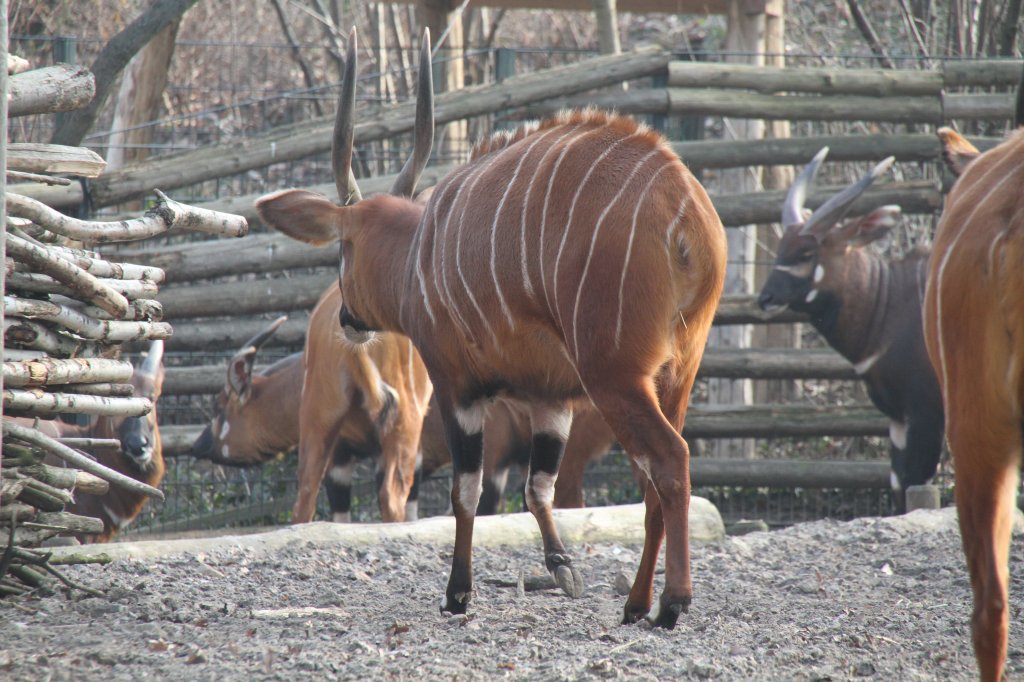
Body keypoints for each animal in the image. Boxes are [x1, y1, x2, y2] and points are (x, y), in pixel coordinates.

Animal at [253, 30, 729, 626]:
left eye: (343, 248)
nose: (347, 319)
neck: (420, 247)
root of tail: (685, 212)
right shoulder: (552, 399)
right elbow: (538, 488)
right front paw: (561, 569)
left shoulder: (458, 388)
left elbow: (467, 491)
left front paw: (458, 592)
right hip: (675, 376)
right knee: (652, 480)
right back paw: (635, 603)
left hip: (616, 378)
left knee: (669, 461)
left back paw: (670, 602)